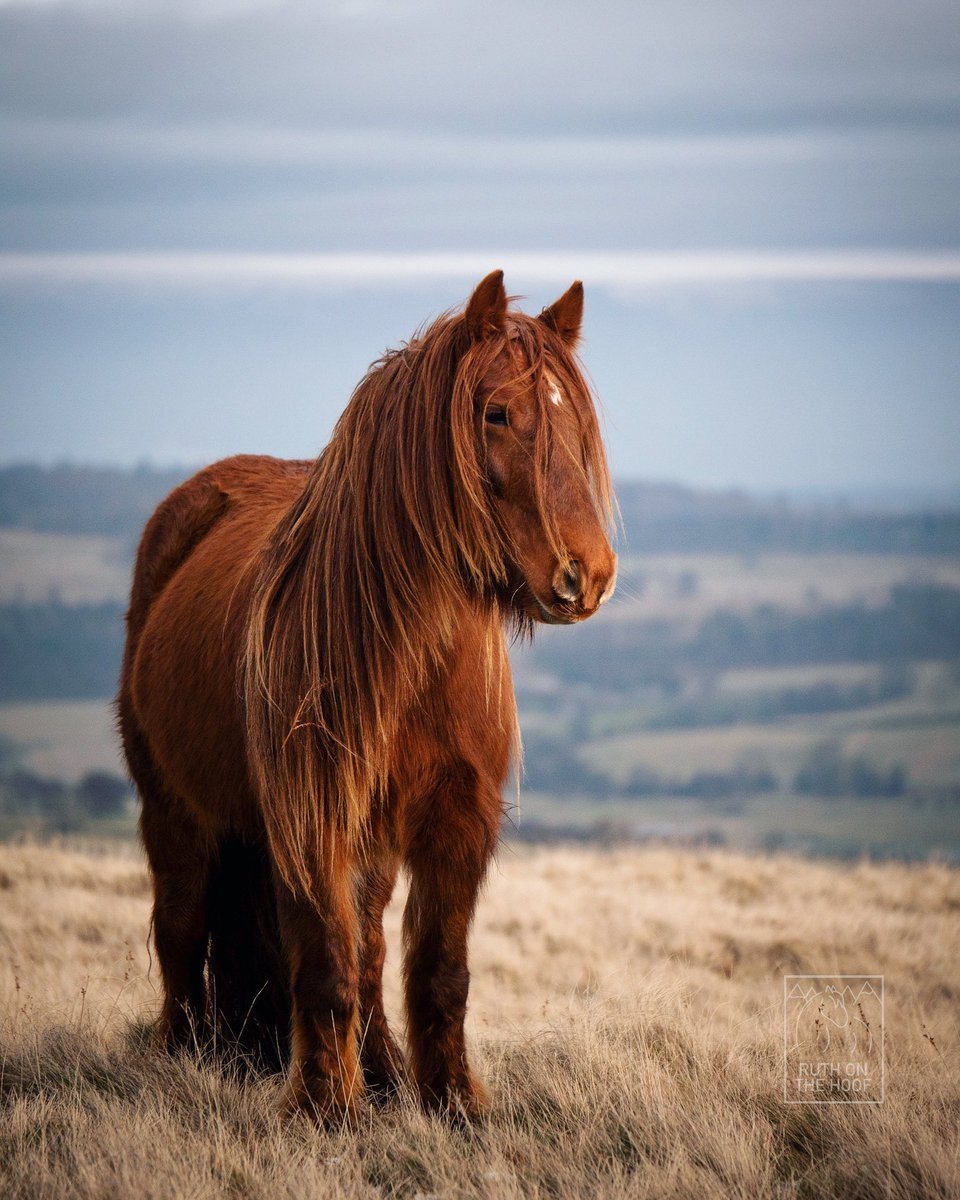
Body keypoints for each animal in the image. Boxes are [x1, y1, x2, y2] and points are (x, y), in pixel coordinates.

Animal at [117, 270, 617, 1125]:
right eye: (495, 413)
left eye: (575, 421)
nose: (586, 574)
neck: (411, 659)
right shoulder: (311, 820)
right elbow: (323, 963)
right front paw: (326, 1110)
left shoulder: (459, 819)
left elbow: (438, 972)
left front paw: (452, 1105)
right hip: (175, 810)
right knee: (181, 927)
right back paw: (178, 1058)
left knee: (372, 948)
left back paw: (382, 1075)